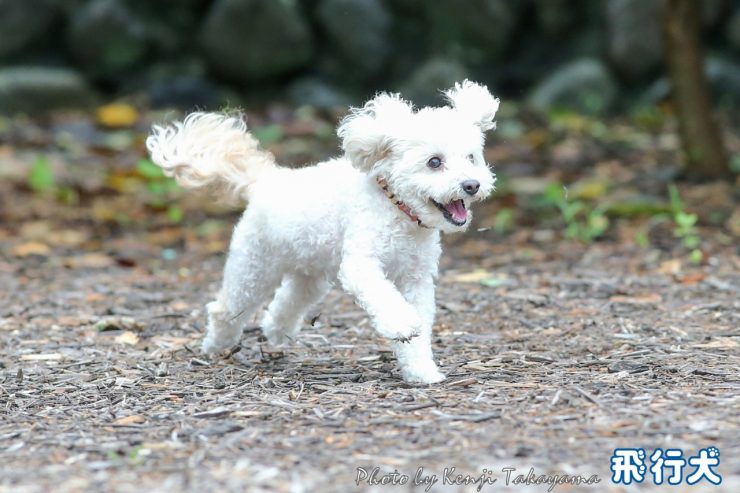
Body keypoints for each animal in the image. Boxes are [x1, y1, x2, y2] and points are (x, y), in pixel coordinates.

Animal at [146, 80, 498, 382]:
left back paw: (276, 330)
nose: (472, 184)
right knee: (226, 308)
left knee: (289, 298)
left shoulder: (417, 279)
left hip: (311, 272)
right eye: (434, 162)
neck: (398, 210)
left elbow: (420, 328)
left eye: (471, 157)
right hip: (253, 266)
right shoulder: (361, 265)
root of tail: (268, 179)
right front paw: (401, 325)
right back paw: (215, 347)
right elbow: (386, 300)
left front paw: (421, 371)